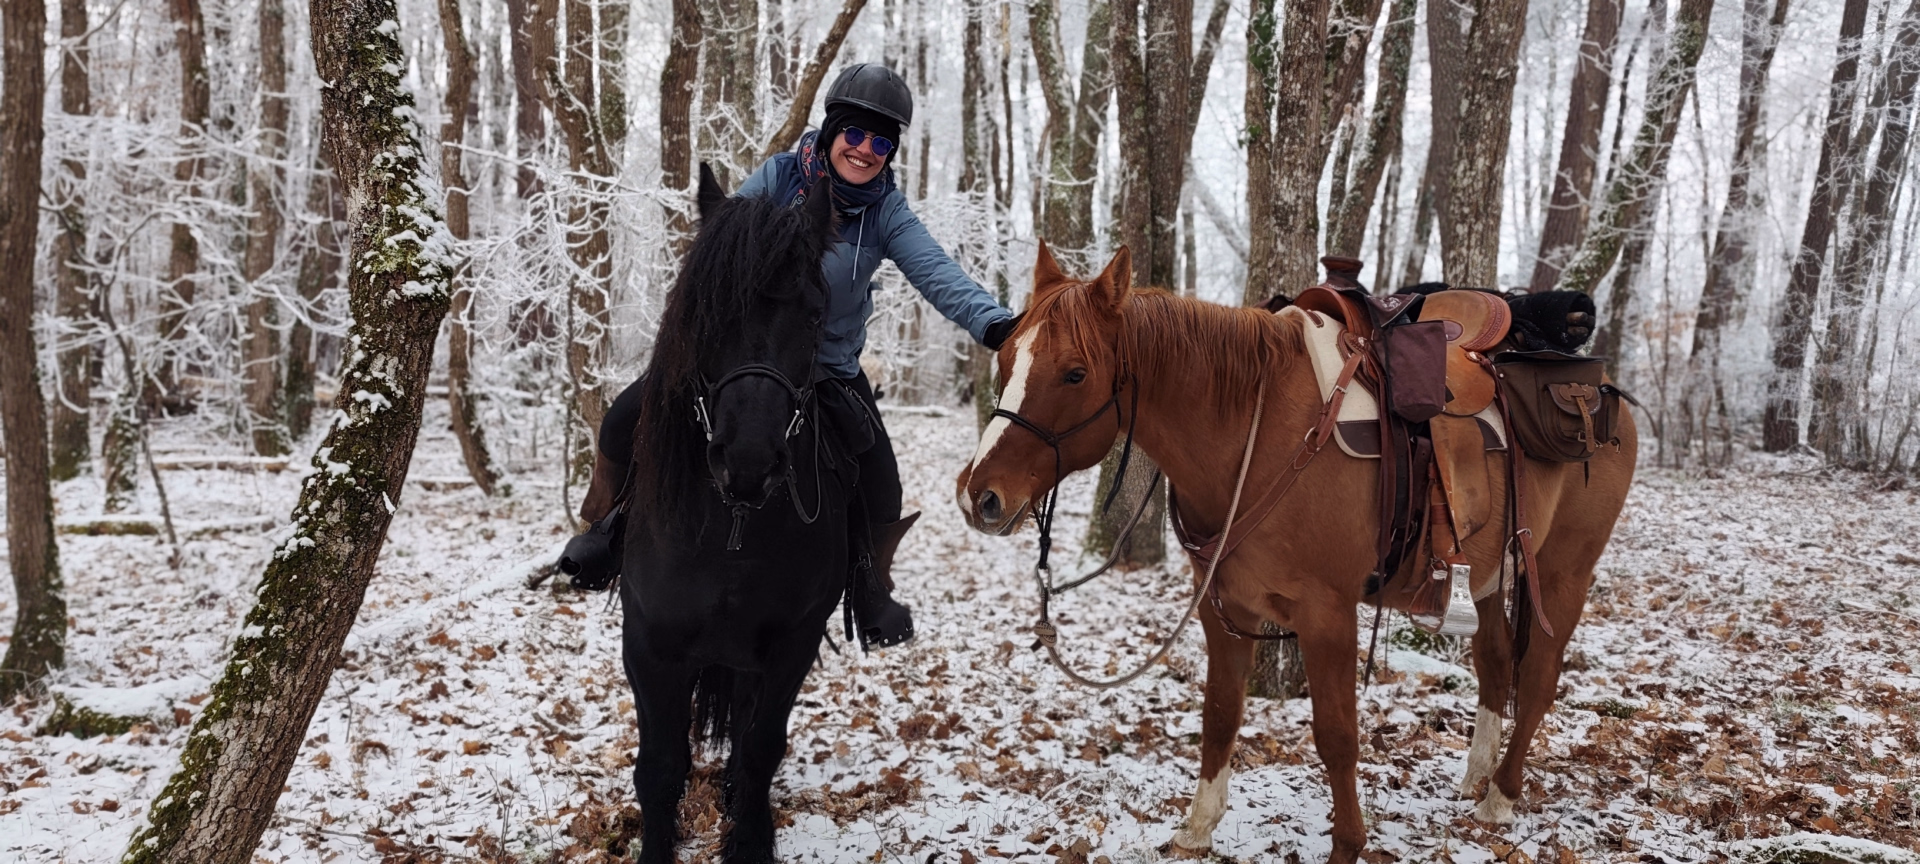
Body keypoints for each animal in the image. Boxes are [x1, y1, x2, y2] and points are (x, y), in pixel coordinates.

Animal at [619, 165, 852, 864]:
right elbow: (659, 766)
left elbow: (760, 749)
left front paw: (748, 839)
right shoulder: (649, 643)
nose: (747, 462)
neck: (735, 529)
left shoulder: (793, 643)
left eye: (815, 314)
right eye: (708, 311)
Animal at [954, 245, 1637, 863]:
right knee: (1496, 665)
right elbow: (1220, 715)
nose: (979, 496)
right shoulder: (1223, 609)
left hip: (1564, 572)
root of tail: (1600, 387)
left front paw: (1348, 846)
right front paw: (1197, 830)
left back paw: (1501, 796)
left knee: (1539, 678)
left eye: (1074, 373)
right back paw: (1477, 778)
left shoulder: (1327, 616)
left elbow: (1336, 736)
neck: (1255, 439)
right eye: (1006, 357)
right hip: (1492, 573)